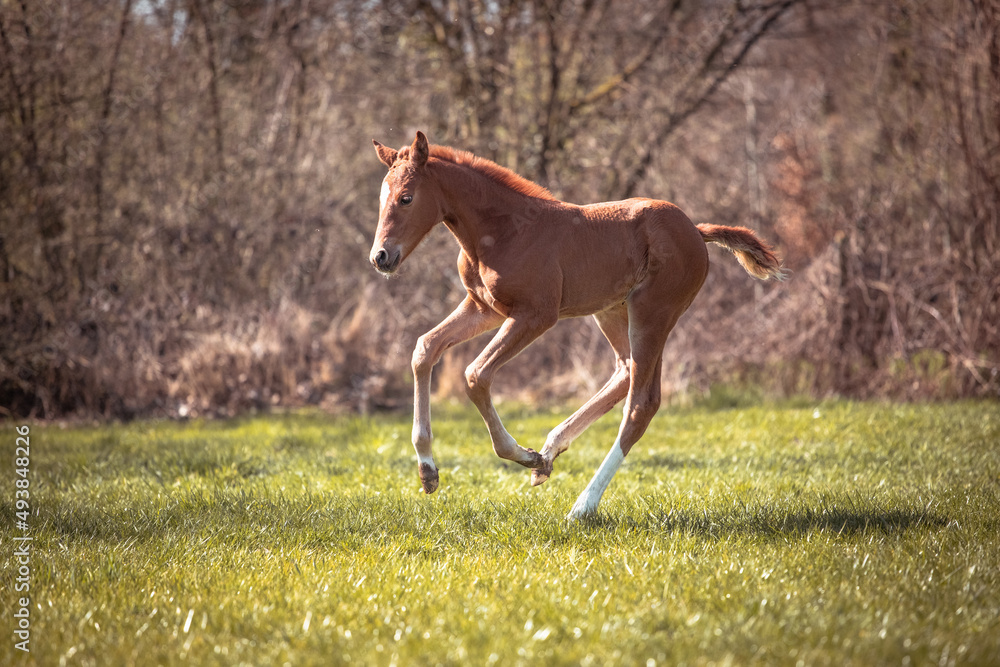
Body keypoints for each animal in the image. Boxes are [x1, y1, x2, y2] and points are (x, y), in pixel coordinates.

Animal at [372, 132, 784, 520]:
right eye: (381, 197)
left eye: (406, 198)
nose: (381, 257)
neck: (504, 230)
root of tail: (697, 232)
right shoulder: (484, 307)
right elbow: (424, 348)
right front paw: (428, 472)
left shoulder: (536, 314)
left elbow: (476, 375)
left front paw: (523, 455)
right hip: (612, 311)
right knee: (625, 371)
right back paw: (551, 451)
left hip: (653, 312)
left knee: (641, 404)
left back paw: (582, 505)